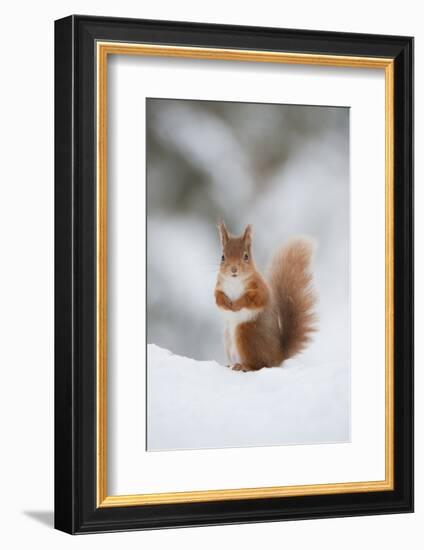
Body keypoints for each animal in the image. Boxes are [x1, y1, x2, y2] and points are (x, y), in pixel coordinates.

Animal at [214, 222, 316, 374]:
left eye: (246, 256)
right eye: (222, 257)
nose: (233, 269)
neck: (234, 281)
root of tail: (277, 357)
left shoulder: (260, 288)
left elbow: (255, 299)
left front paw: (237, 304)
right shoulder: (219, 286)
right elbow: (217, 298)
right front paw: (226, 303)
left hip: (246, 333)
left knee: (259, 365)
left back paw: (244, 366)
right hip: (228, 338)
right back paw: (231, 365)